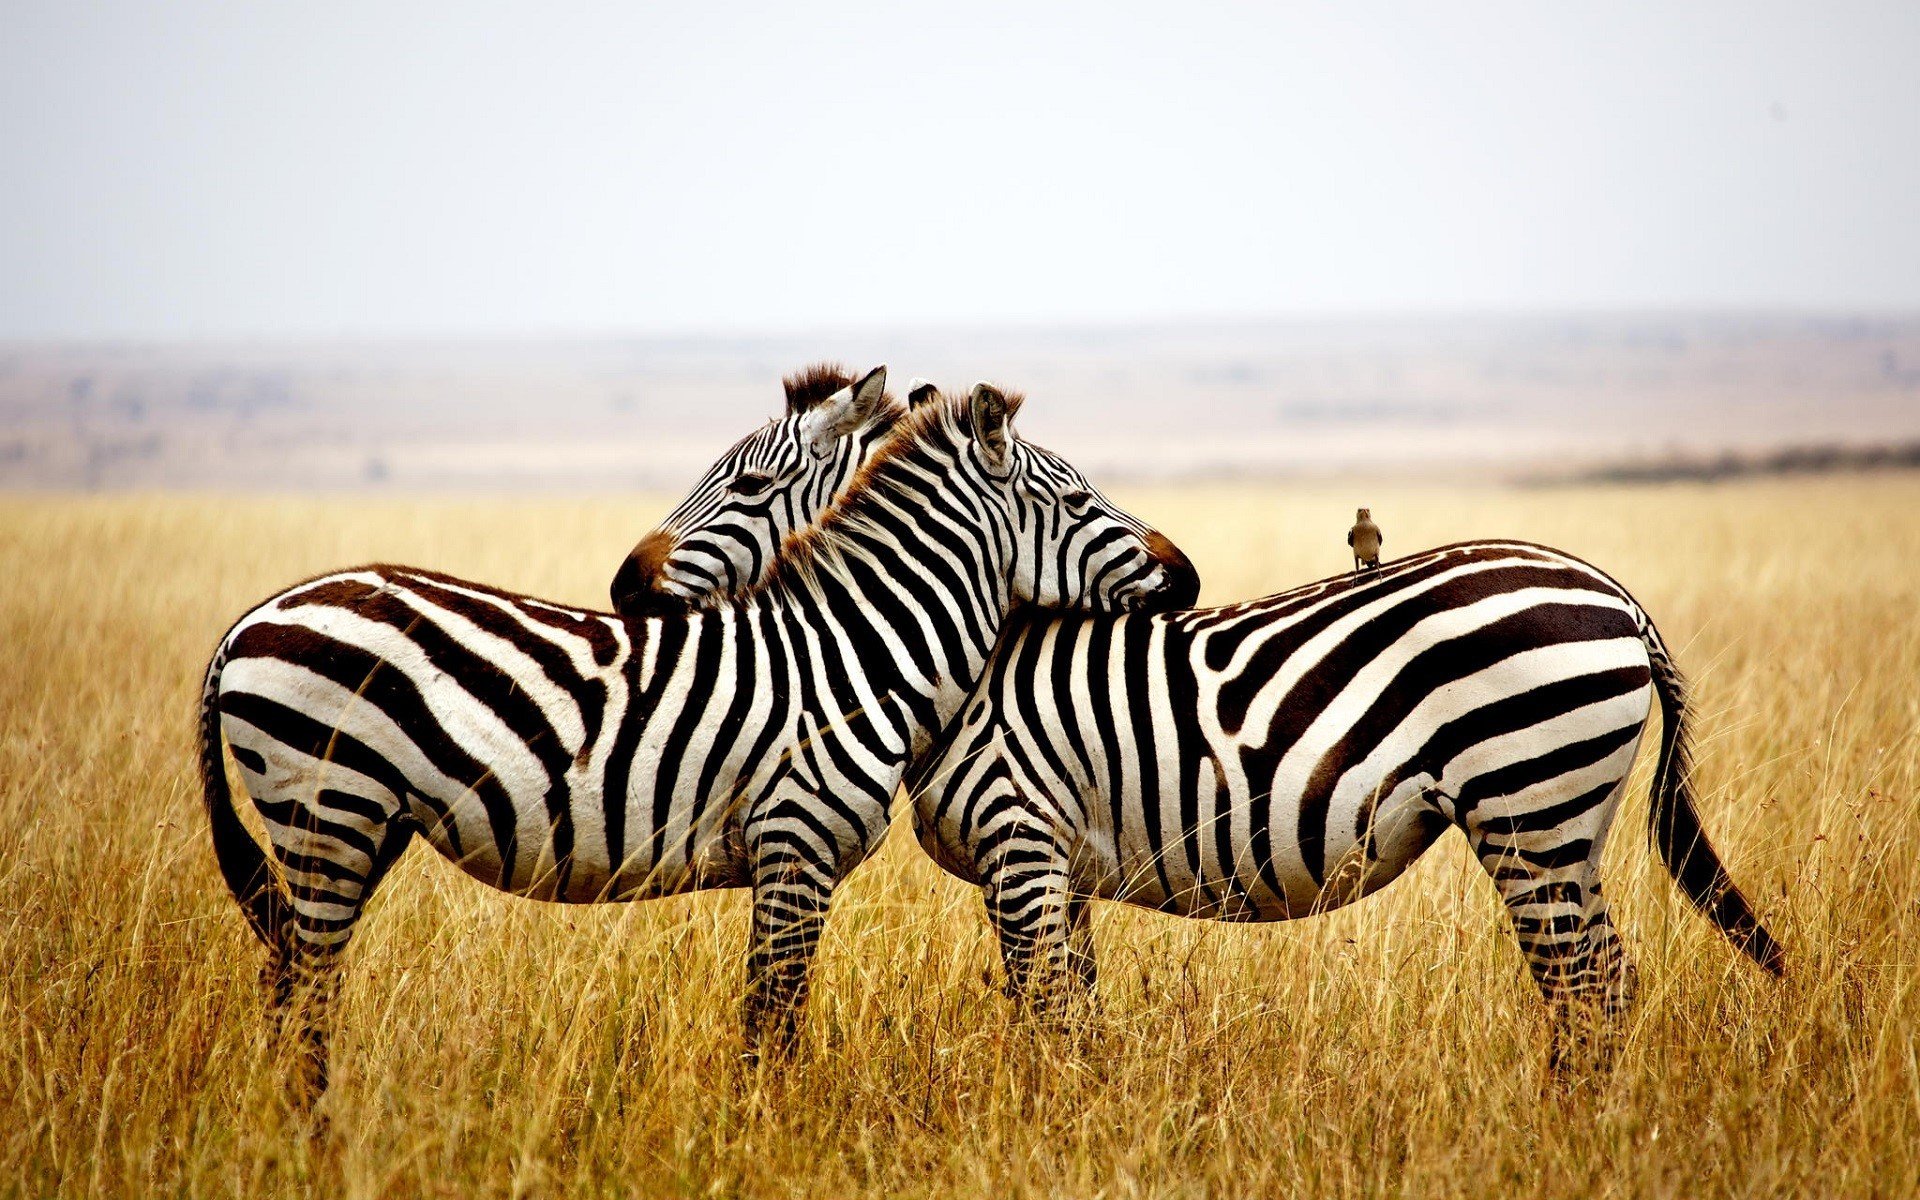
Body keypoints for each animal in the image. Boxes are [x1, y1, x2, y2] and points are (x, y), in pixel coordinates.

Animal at [206, 374, 1198, 1098]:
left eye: (748, 484)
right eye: (1079, 501)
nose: (1185, 577)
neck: (859, 649)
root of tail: (250, 619)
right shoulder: (795, 848)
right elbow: (772, 1020)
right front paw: (766, 1130)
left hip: (358, 825)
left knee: (291, 982)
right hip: (328, 808)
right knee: (305, 993)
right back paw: (313, 1133)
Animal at [906, 537, 1774, 1052]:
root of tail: (1616, 596)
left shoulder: (1018, 840)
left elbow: (1047, 1012)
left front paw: (1060, 1117)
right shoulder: (1062, 867)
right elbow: (1077, 1003)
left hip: (1528, 808)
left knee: (1579, 984)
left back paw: (1568, 1133)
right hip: (1573, 825)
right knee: (1611, 978)